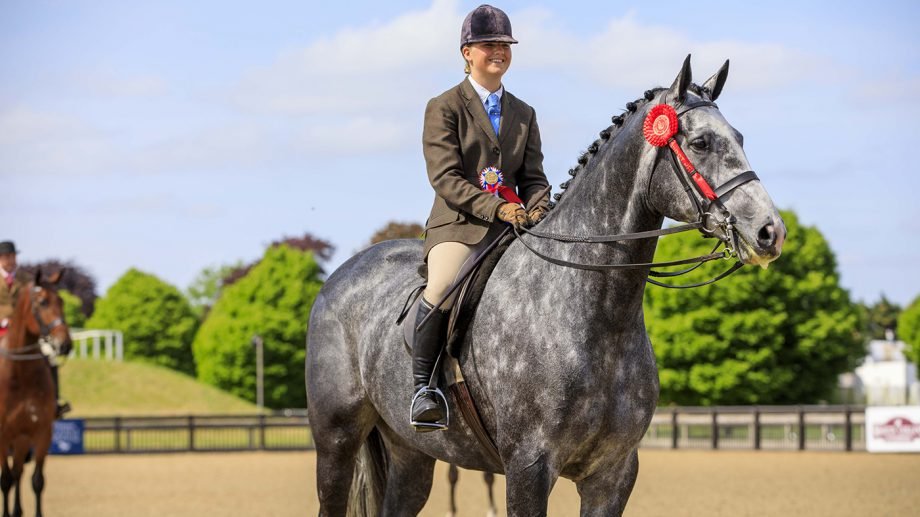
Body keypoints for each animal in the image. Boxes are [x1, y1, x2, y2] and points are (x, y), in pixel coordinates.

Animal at [0, 270, 72, 517]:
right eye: (42, 302)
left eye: (61, 301)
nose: (65, 344)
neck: (20, 374)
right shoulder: (3, 436)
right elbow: (4, 481)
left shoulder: (42, 433)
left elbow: (37, 481)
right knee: (11, 476)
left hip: (22, 439)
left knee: (18, 472)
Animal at [306, 56, 786, 516]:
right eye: (700, 143)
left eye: (739, 138)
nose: (770, 232)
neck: (598, 318)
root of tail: (340, 277)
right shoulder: (529, 468)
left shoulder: (612, 474)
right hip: (336, 442)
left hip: (412, 451)